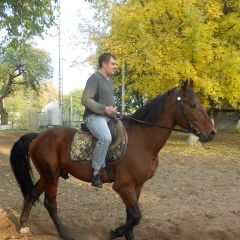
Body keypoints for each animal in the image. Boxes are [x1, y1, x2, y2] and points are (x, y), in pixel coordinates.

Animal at [9, 81, 216, 240]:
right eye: (193, 105)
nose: (212, 132)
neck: (141, 141)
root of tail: (39, 136)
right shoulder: (123, 186)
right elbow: (136, 216)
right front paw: (113, 233)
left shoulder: (137, 185)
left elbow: (131, 215)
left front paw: (128, 236)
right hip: (51, 175)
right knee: (50, 203)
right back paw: (64, 234)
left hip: (49, 174)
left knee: (32, 193)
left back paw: (24, 224)